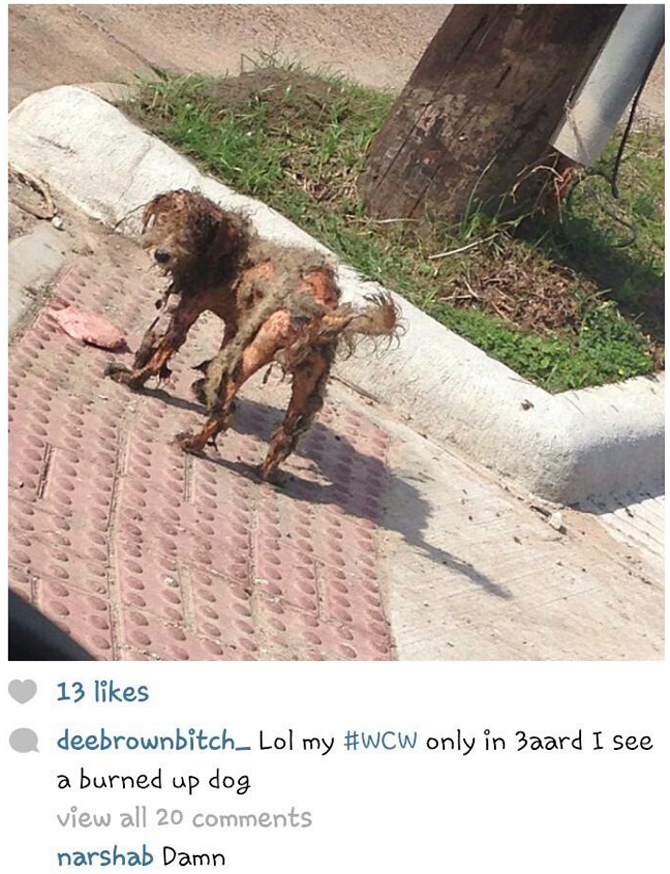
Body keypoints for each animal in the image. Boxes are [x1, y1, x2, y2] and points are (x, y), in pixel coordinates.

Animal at [105, 187, 400, 480]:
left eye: (195, 232)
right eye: (164, 217)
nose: (162, 254)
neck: (231, 256)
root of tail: (322, 313)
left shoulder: (190, 309)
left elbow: (163, 352)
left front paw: (134, 378)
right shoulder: (235, 329)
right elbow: (218, 358)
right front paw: (203, 387)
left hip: (254, 354)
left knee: (224, 411)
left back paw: (193, 443)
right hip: (308, 381)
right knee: (285, 434)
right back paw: (264, 472)